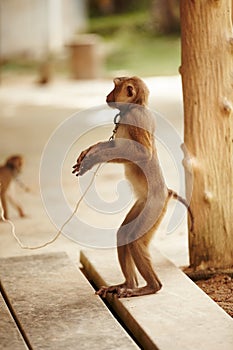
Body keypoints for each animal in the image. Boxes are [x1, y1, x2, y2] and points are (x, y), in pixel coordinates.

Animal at [73, 77, 193, 298]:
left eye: (114, 86)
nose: (108, 95)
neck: (135, 106)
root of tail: (165, 192)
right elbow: (114, 147)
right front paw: (90, 151)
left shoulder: (136, 118)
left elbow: (142, 153)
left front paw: (92, 158)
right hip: (143, 204)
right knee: (123, 234)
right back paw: (128, 283)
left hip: (154, 207)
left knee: (134, 240)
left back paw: (150, 287)